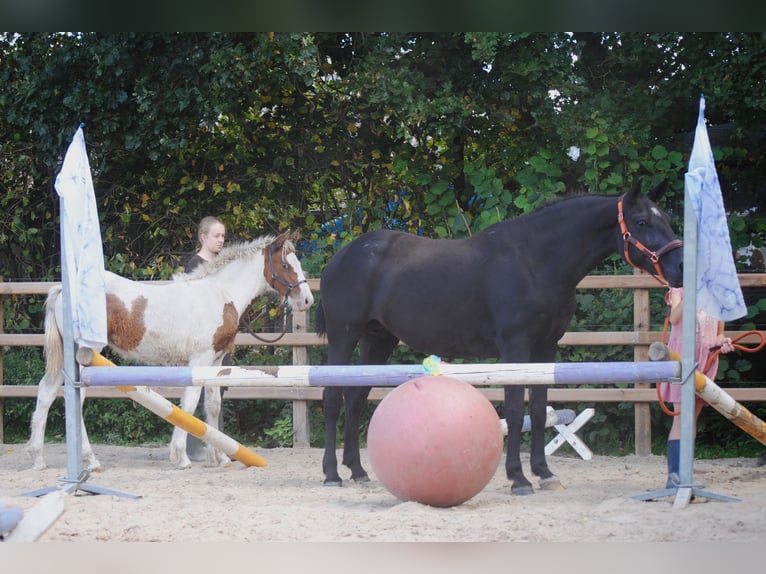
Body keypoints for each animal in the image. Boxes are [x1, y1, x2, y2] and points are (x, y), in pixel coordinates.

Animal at [27, 232, 314, 472]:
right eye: (286, 265)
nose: (307, 300)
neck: (219, 294)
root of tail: (64, 289)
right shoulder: (199, 359)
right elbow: (189, 404)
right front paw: (181, 457)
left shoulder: (215, 360)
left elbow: (213, 405)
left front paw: (220, 457)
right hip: (86, 357)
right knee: (74, 398)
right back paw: (91, 460)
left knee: (46, 391)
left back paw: (38, 459)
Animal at [316, 181, 684, 495]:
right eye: (641, 221)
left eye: (665, 219)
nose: (680, 266)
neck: (536, 260)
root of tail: (341, 257)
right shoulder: (515, 347)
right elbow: (515, 409)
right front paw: (518, 478)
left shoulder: (546, 348)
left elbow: (538, 411)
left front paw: (544, 473)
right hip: (343, 336)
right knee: (332, 398)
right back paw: (332, 473)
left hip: (379, 341)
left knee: (356, 398)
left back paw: (357, 470)